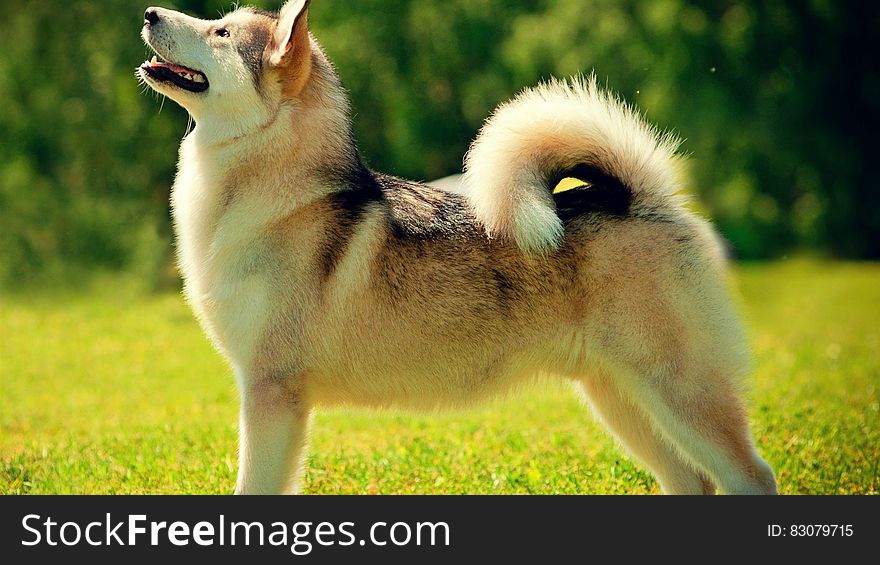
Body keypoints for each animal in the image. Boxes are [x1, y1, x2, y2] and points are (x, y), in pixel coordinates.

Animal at [138, 1, 776, 494]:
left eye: (220, 33)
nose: (147, 12)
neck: (272, 194)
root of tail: (646, 198)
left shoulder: (273, 392)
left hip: (680, 390)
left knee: (750, 475)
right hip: (621, 398)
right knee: (691, 480)